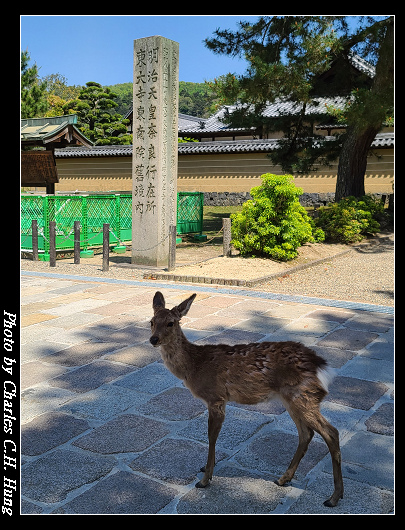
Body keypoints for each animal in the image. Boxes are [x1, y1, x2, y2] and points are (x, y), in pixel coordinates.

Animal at [150, 290, 342, 506]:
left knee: (331, 432)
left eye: (170, 323)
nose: (153, 339)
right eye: (151, 321)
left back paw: (334, 497)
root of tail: (321, 366)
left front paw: (205, 479)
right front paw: (206, 468)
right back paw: (283, 478)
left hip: (302, 395)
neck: (194, 366)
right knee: (306, 433)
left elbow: (211, 436)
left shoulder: (216, 397)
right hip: (292, 398)